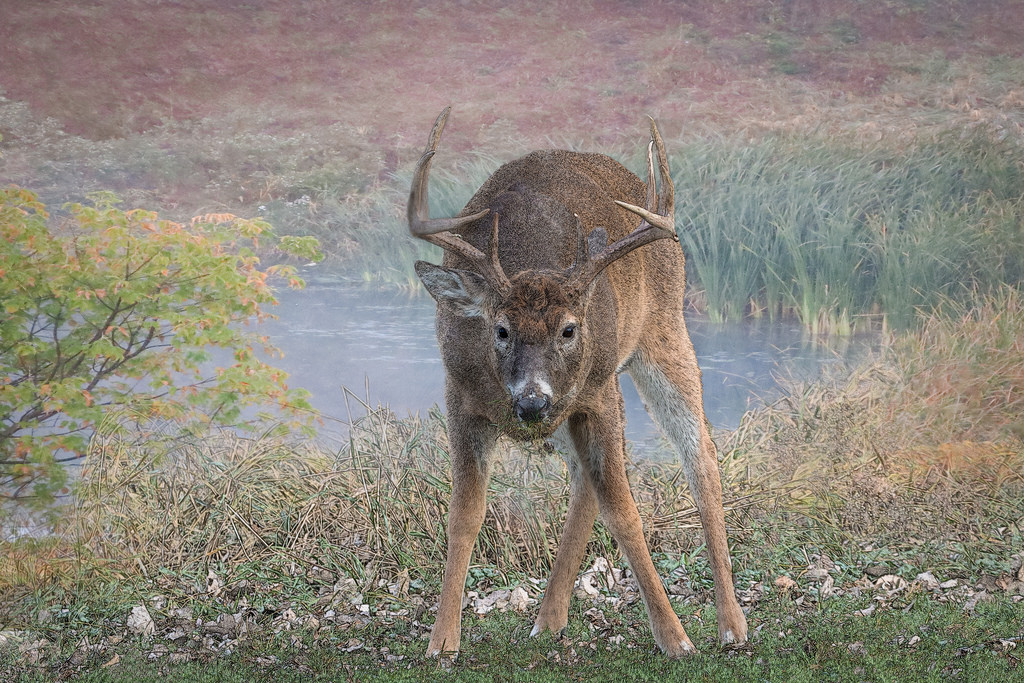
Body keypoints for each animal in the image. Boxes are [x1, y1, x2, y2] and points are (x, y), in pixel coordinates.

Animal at [407, 107, 748, 658]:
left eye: (569, 329)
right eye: (500, 330)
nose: (531, 402)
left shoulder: (596, 393)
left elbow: (625, 512)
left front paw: (675, 637)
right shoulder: (461, 398)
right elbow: (464, 514)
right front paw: (442, 639)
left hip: (661, 336)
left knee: (701, 455)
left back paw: (731, 623)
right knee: (586, 483)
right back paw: (549, 618)